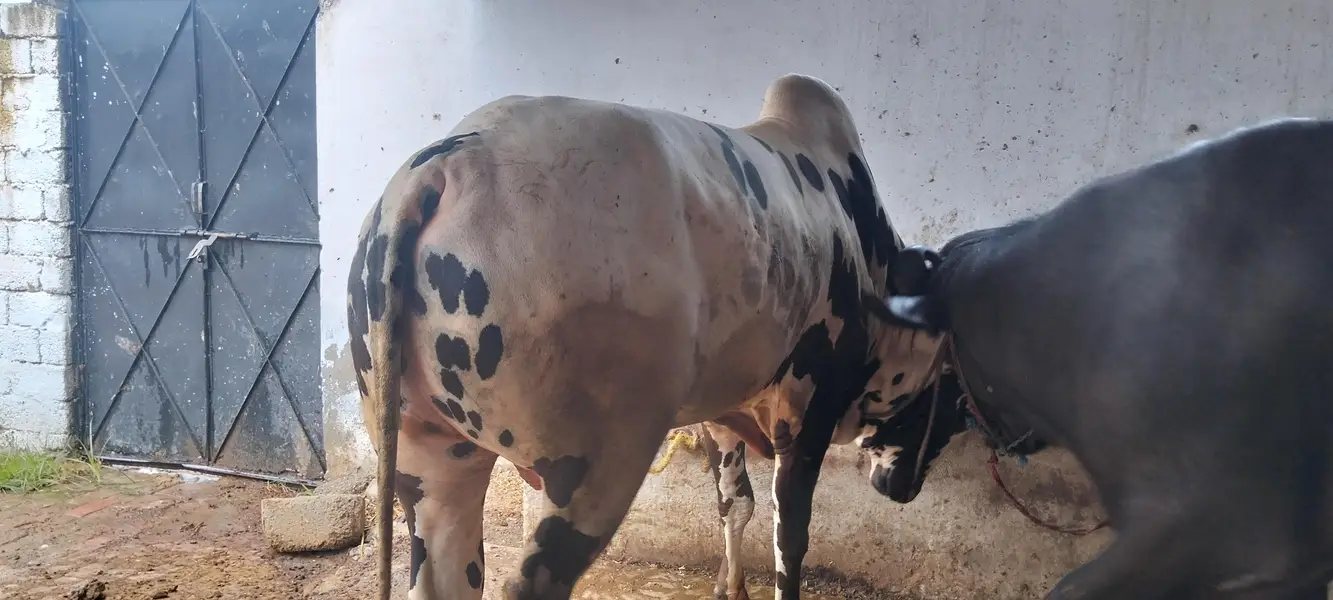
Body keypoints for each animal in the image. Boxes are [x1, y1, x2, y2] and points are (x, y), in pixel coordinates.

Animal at [346, 74, 944, 600]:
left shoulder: (724, 407)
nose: (906, 487)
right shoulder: (808, 412)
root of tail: (447, 163)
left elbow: (735, 503)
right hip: (596, 469)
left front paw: (730, 587)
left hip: (431, 464)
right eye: (952, 387)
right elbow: (790, 538)